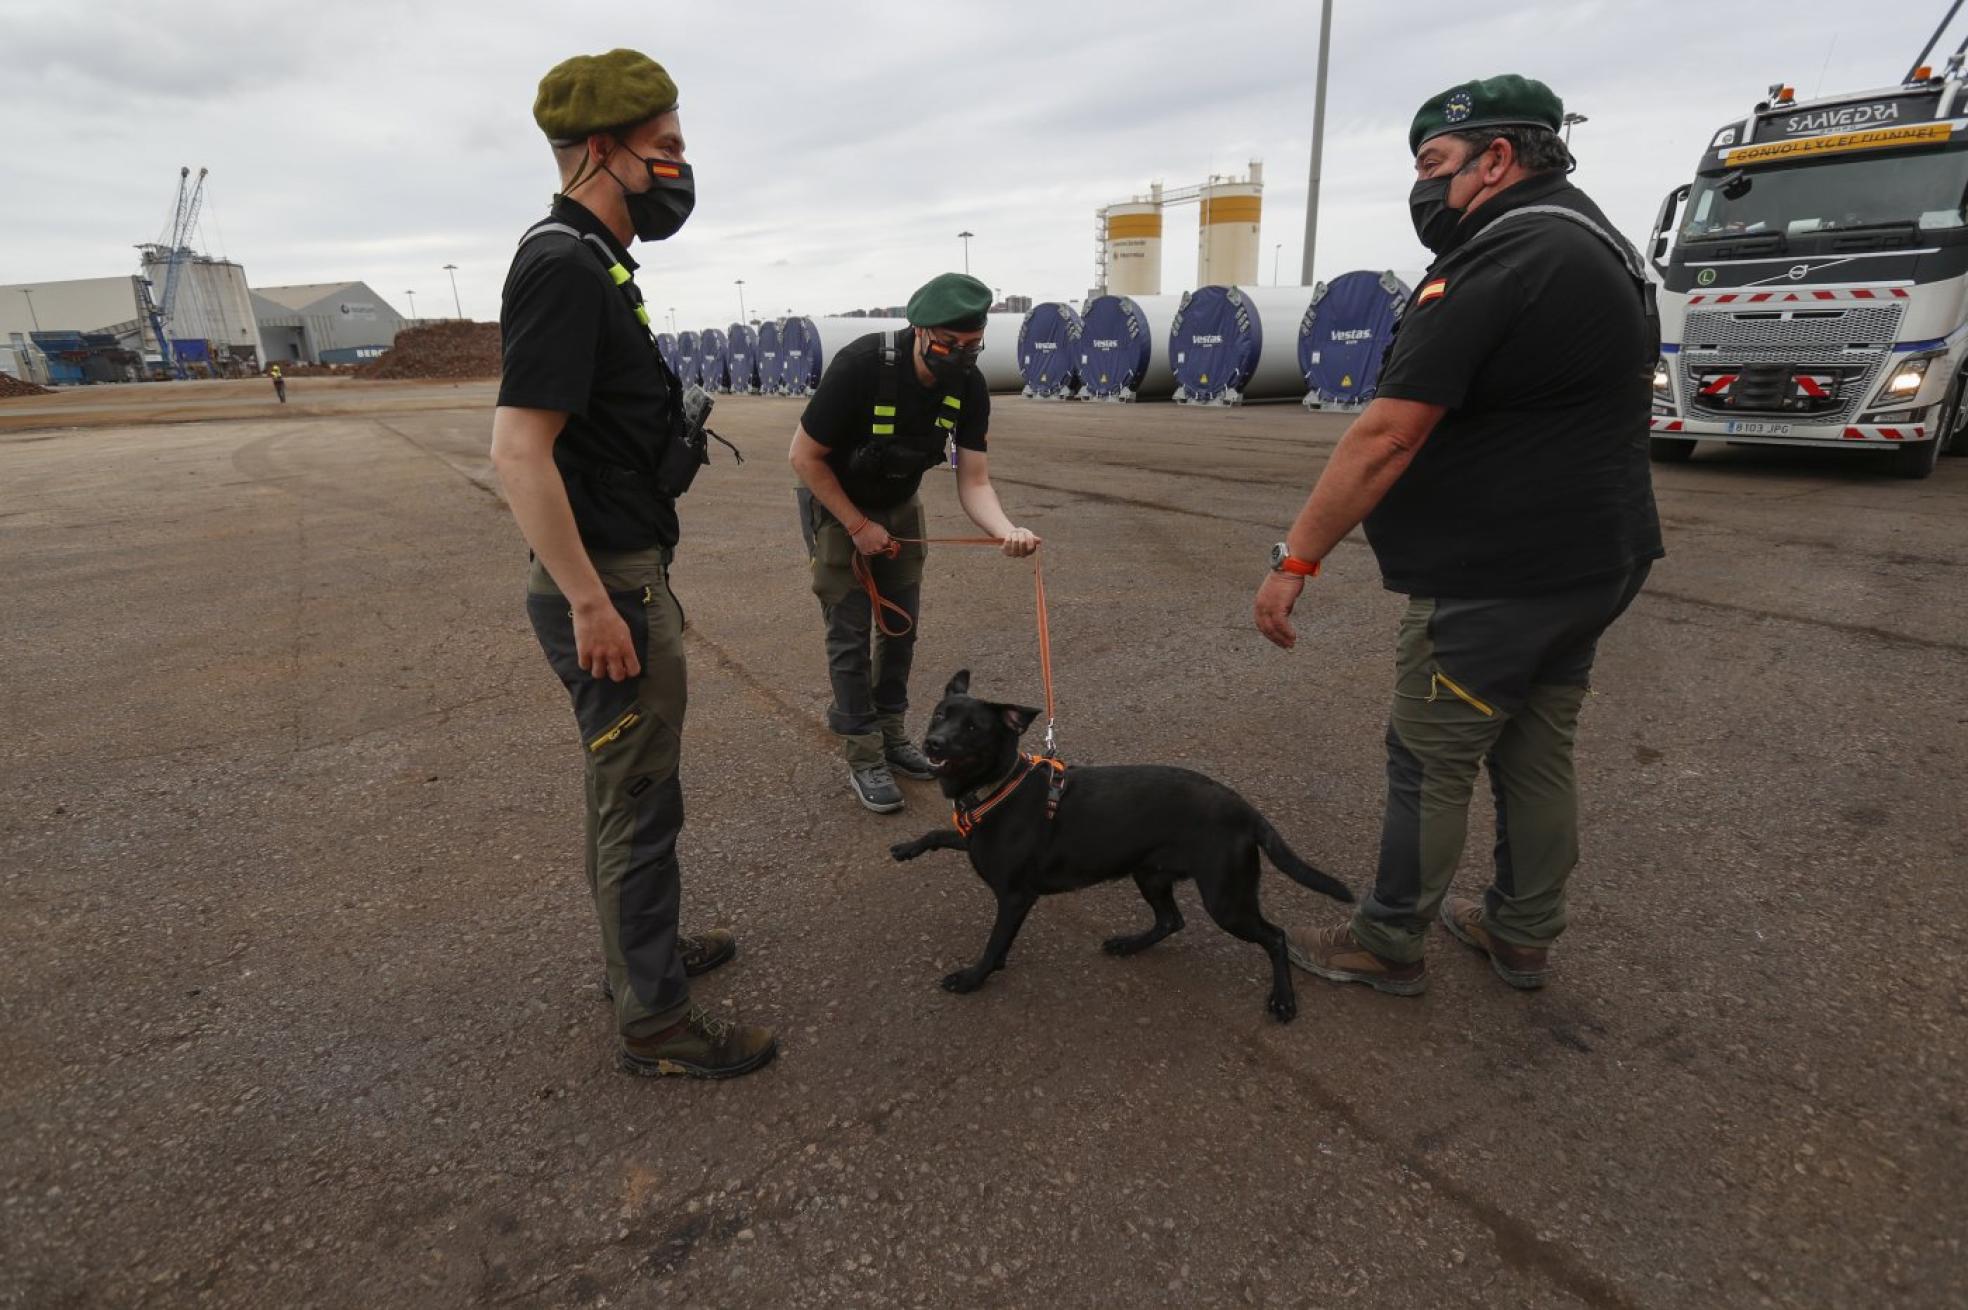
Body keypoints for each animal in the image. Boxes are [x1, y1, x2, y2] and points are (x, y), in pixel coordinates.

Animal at [893, 672, 1353, 1022]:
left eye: (973, 728)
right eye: (940, 714)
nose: (933, 743)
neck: (998, 786)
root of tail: (1245, 809)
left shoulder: (1015, 897)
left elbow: (994, 945)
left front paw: (972, 979)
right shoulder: (973, 839)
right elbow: (939, 835)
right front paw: (908, 847)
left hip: (1227, 899)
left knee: (1274, 937)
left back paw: (1283, 1001)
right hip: (1150, 874)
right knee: (1171, 920)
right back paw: (1129, 945)